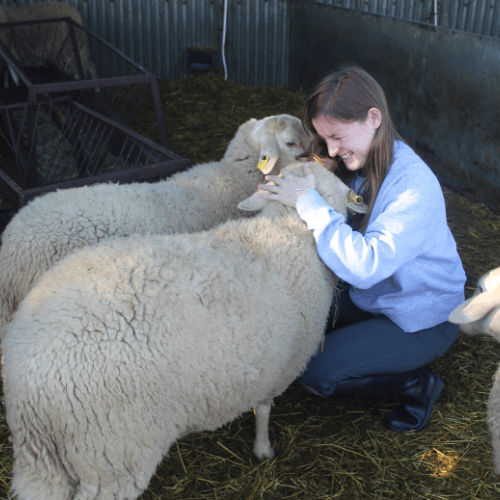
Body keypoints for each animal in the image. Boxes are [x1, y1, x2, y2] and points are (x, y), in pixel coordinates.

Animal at [0, 160, 368, 500]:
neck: (286, 230)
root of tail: (27, 385)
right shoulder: (280, 366)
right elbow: (263, 410)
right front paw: (263, 450)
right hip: (112, 454)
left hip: (43, 463)